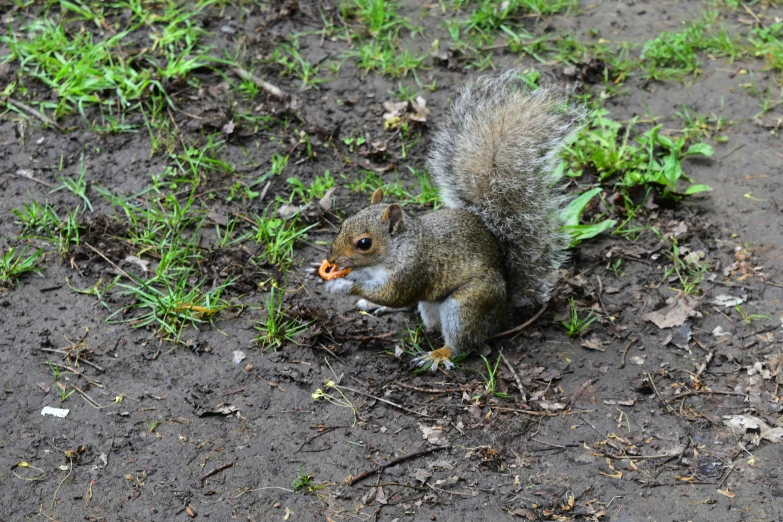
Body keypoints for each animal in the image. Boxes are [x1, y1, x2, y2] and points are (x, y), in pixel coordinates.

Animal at [322, 70, 584, 370]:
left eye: (364, 243)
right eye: (343, 223)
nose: (331, 260)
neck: (397, 250)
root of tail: (503, 307)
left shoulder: (413, 270)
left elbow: (395, 293)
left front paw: (346, 286)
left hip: (465, 306)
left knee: (465, 343)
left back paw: (438, 355)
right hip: (433, 305)